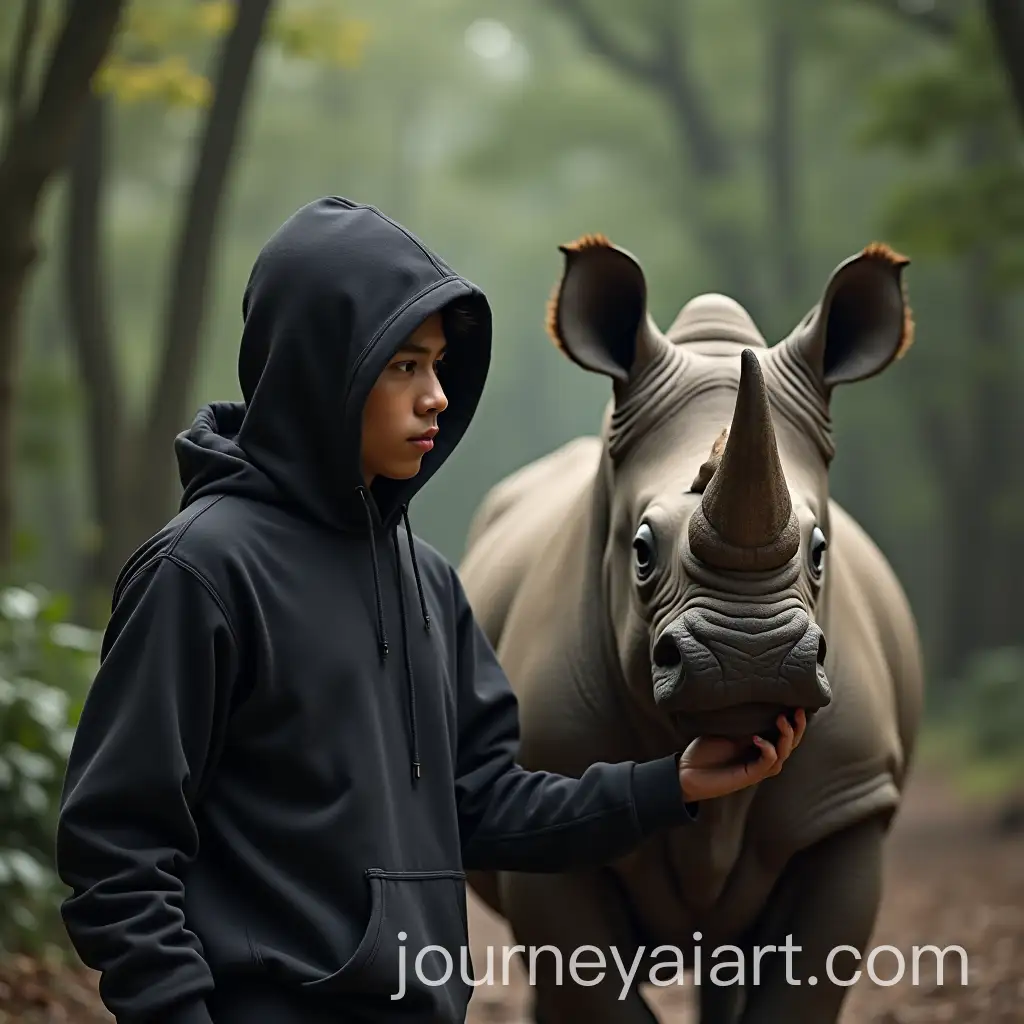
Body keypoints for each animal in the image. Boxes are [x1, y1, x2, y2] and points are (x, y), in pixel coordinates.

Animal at [458, 235, 925, 1024]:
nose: (752, 656)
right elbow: (591, 986)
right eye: (641, 550)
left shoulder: (848, 801)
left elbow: (798, 992)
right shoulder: (549, 797)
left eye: (821, 550)